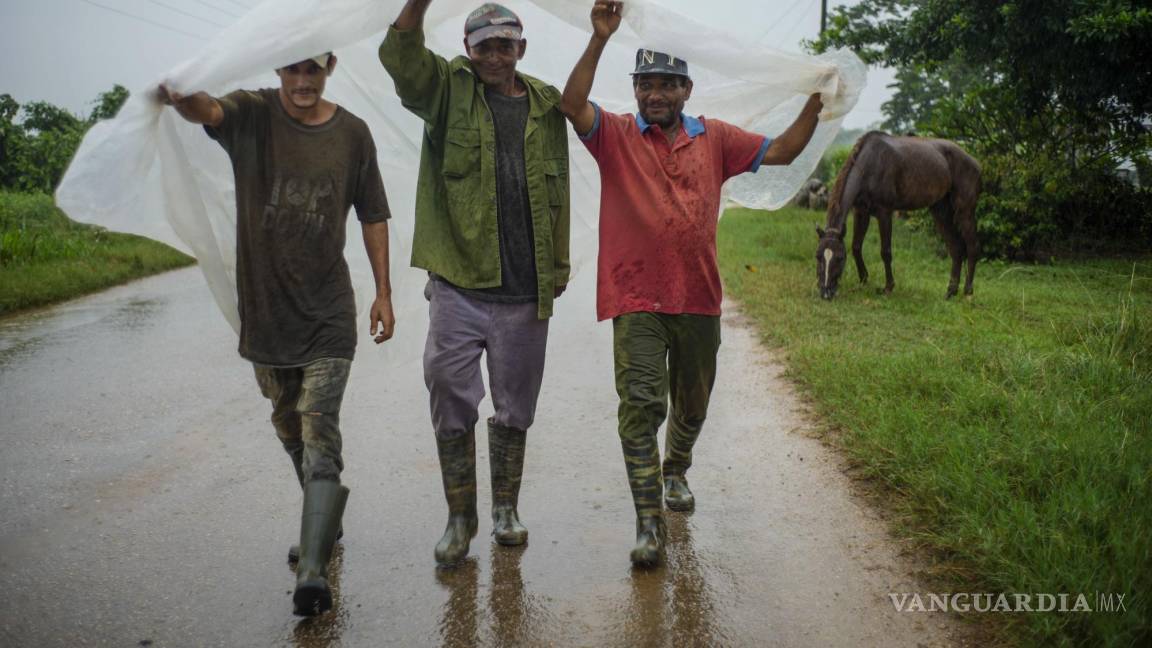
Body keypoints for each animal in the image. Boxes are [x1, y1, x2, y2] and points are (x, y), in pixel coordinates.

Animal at [815, 134, 986, 302]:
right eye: (818, 256)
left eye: (839, 257)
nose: (826, 293)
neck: (871, 163)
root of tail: (976, 163)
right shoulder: (861, 212)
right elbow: (856, 246)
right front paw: (863, 280)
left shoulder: (884, 213)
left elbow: (885, 252)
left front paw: (888, 288)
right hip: (940, 212)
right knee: (956, 248)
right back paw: (950, 292)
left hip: (965, 211)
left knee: (973, 247)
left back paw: (968, 292)